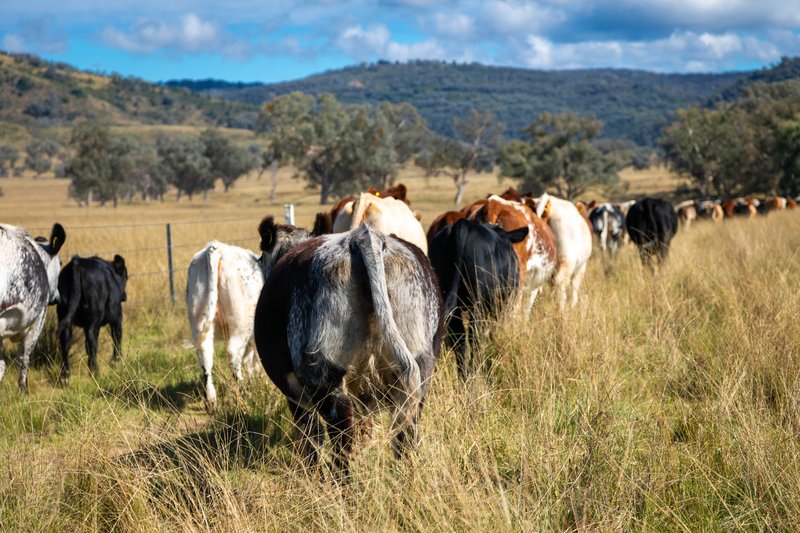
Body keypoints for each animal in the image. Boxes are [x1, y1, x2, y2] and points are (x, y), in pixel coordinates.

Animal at [255, 216, 444, 474]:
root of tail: (362, 238)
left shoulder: (294, 393)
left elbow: (310, 438)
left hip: (325, 374)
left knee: (340, 433)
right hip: (419, 370)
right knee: (406, 430)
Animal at [432, 217, 524, 378]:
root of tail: (463, 224)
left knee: (459, 338)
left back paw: (464, 376)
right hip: (478, 303)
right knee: (474, 336)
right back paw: (475, 372)